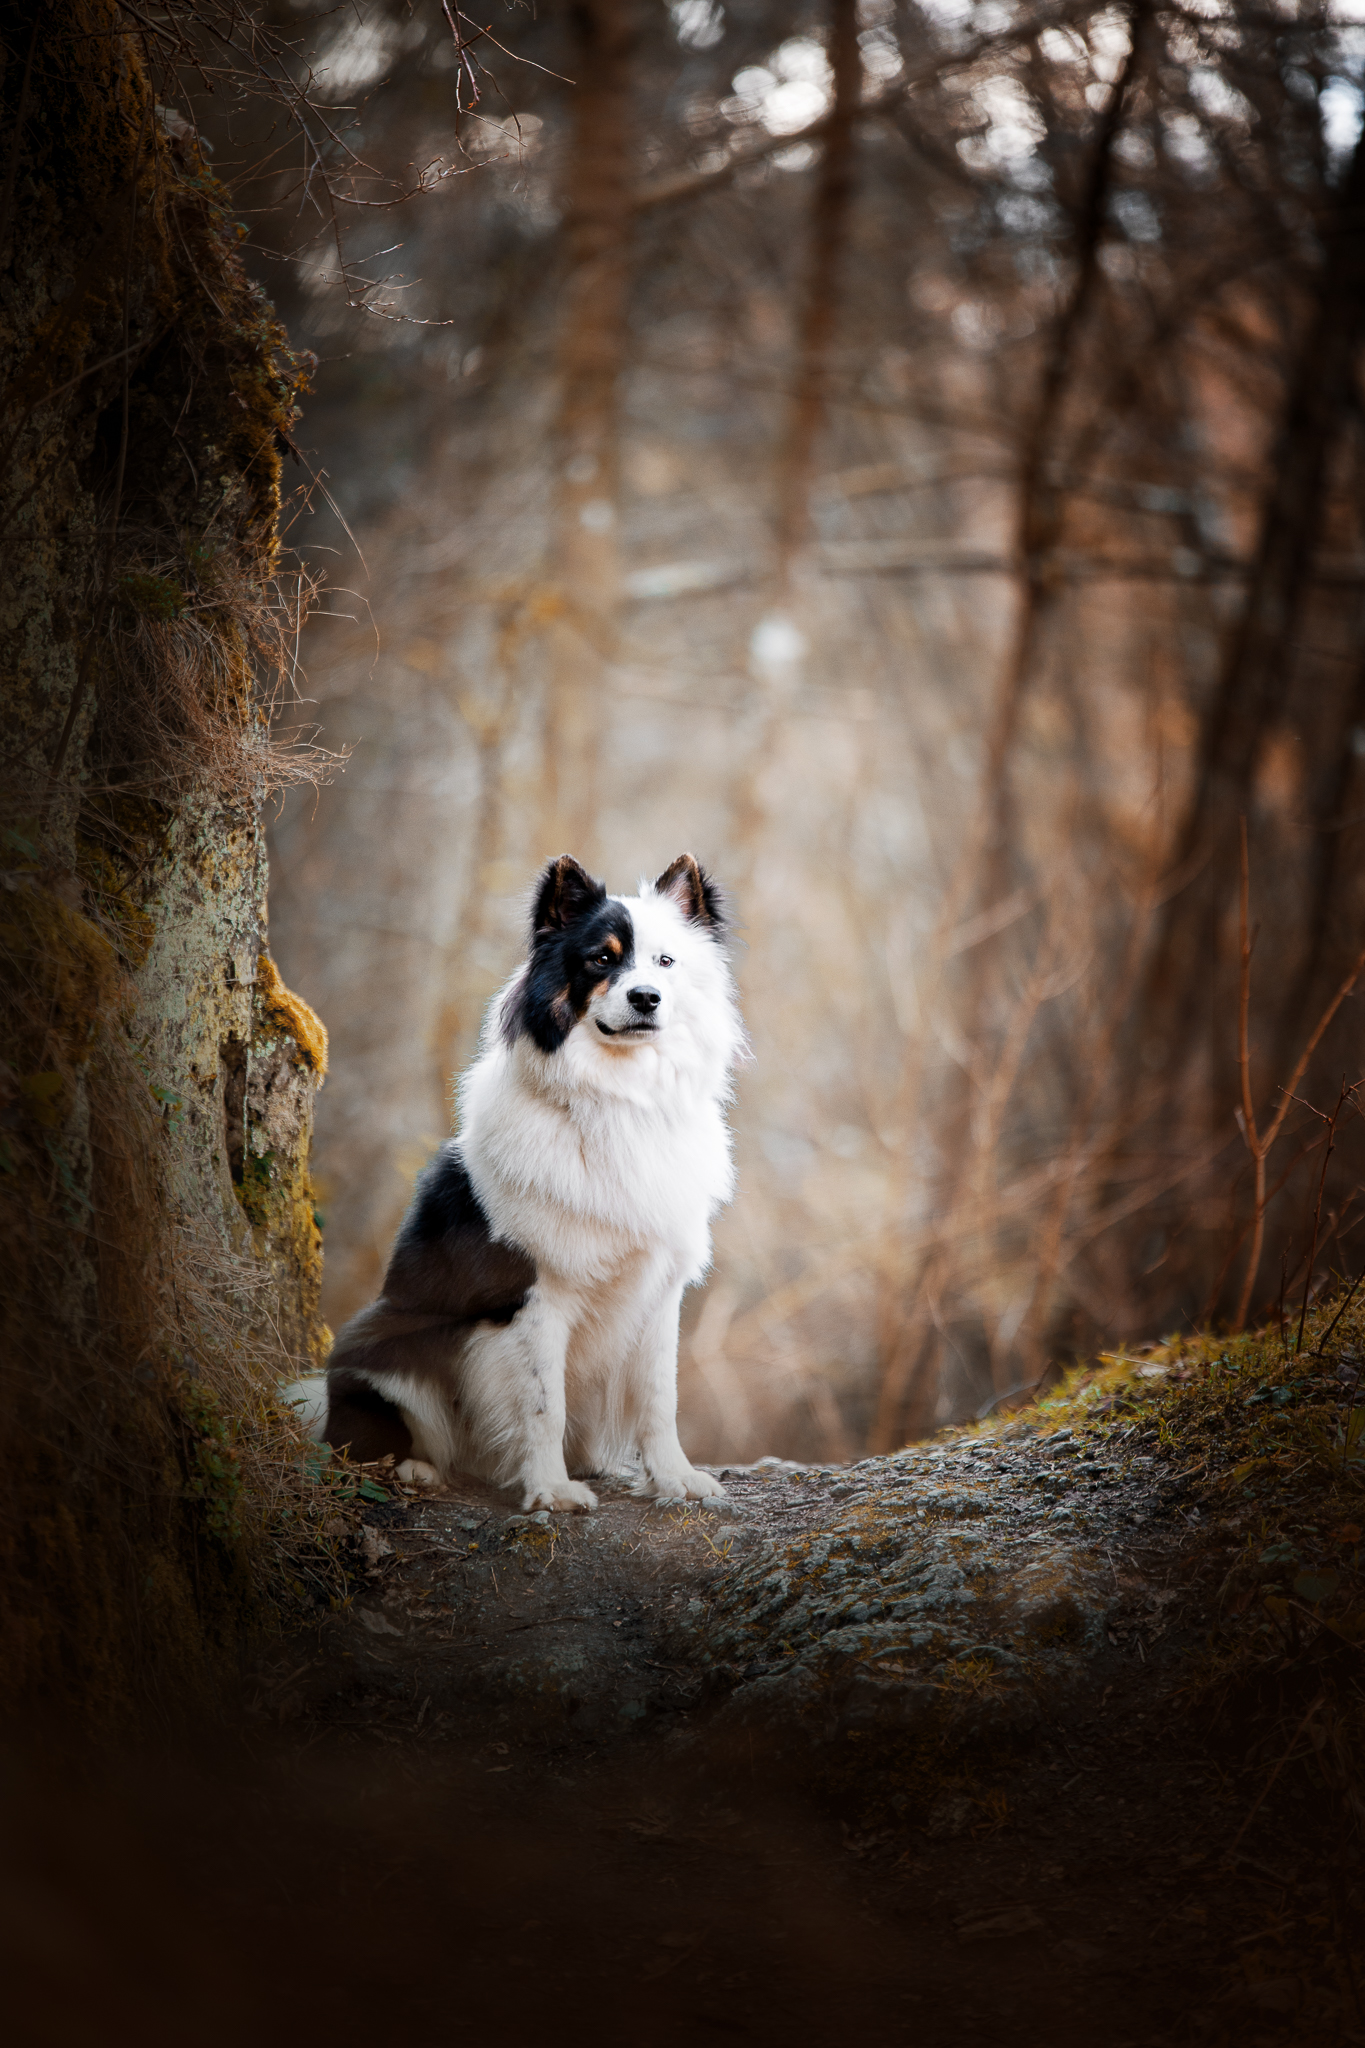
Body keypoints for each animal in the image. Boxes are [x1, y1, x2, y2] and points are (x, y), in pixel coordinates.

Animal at [311, 856, 749, 1515]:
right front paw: (549, 1491)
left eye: (666, 962)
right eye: (600, 959)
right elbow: (544, 1404)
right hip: (379, 1346)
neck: (618, 1099)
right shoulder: (535, 1294)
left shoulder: (658, 1289)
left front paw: (674, 1479)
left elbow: (659, 1398)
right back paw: (417, 1469)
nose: (646, 997)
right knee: (363, 1439)